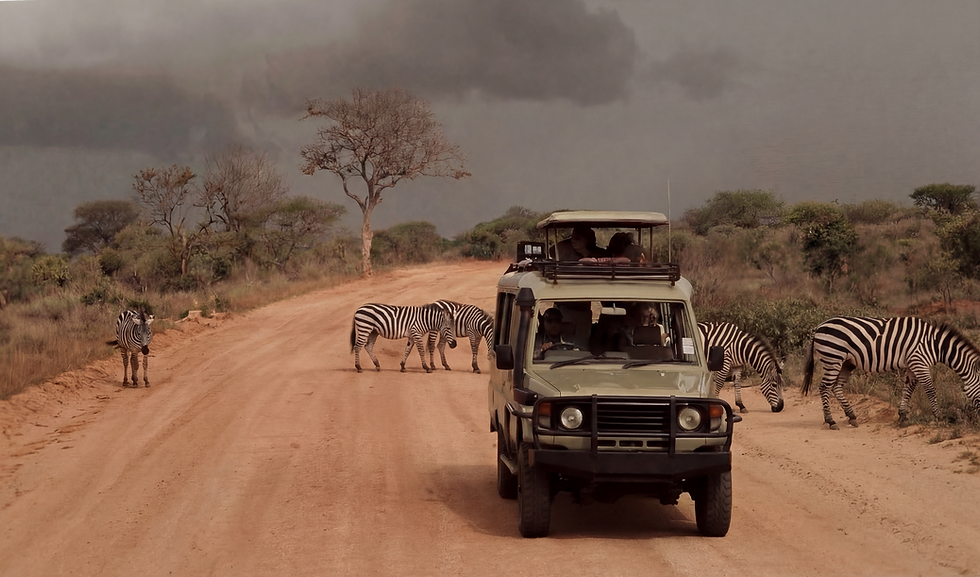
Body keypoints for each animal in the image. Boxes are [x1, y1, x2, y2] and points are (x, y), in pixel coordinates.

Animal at [802, 316, 980, 429]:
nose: (977, 422)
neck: (934, 345)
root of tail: (818, 326)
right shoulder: (919, 362)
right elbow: (930, 389)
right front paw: (939, 417)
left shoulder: (912, 364)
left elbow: (908, 389)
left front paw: (902, 417)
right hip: (833, 357)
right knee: (824, 387)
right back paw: (831, 421)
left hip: (846, 362)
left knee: (836, 387)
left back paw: (851, 416)